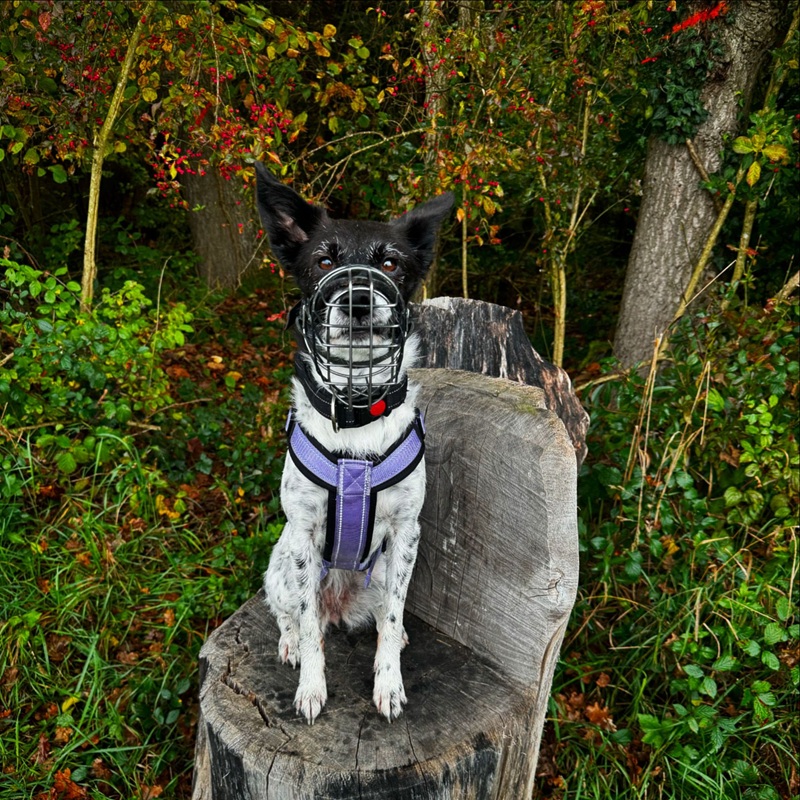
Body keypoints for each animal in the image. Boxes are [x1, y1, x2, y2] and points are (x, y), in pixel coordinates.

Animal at [255, 163, 453, 723]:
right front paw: (310, 686)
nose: (358, 299)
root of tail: (340, 604)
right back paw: (291, 644)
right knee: (291, 615)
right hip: (279, 563)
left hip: (384, 568)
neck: (358, 408)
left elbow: (392, 619)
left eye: (389, 262)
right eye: (324, 260)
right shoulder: (301, 535)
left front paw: (389, 684)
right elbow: (305, 623)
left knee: (387, 615)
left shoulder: (406, 532)